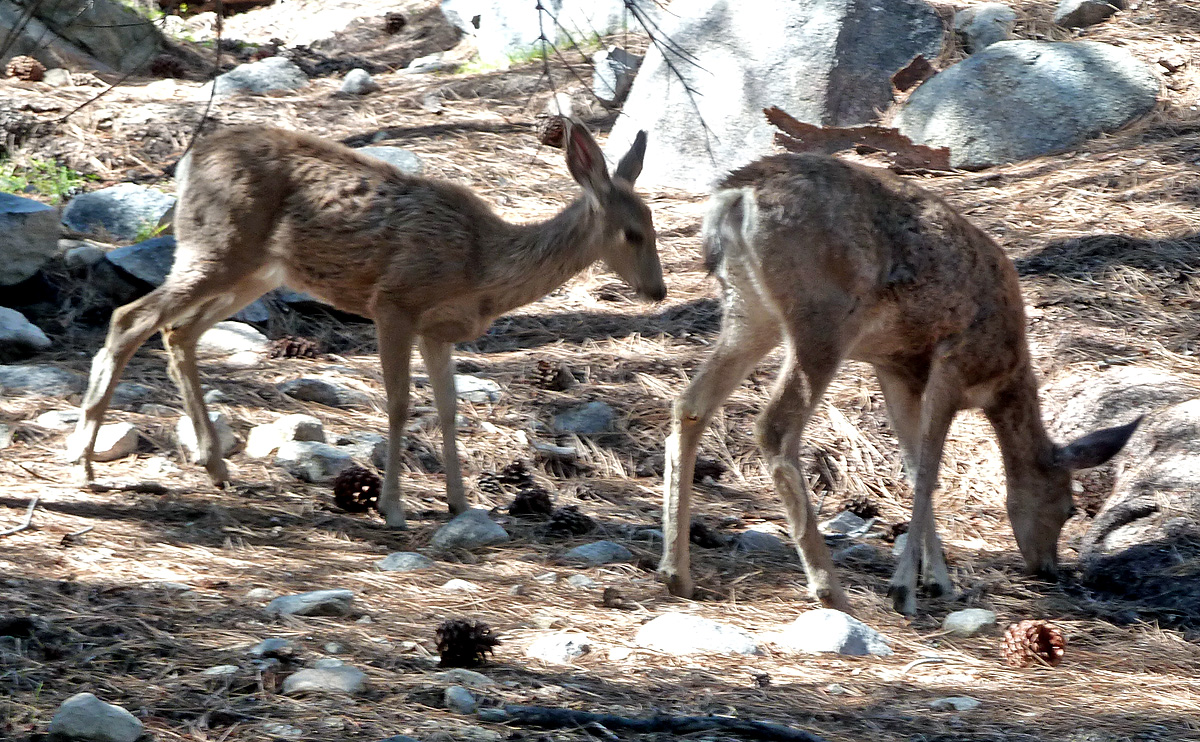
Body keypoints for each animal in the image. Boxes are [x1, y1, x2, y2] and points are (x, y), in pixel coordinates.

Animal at [66, 121, 663, 528]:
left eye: (654, 225)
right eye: (632, 232)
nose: (658, 290)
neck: (482, 264)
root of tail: (190, 160)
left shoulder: (437, 329)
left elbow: (448, 409)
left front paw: (459, 502)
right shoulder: (394, 302)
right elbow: (399, 404)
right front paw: (395, 508)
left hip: (254, 271)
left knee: (177, 331)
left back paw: (214, 467)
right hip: (217, 247)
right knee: (130, 317)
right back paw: (83, 464)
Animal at [659, 153, 1139, 615]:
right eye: (1069, 507)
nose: (1048, 568)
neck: (1004, 375)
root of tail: (735, 197)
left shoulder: (895, 368)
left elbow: (911, 464)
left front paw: (937, 580)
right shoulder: (952, 362)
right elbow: (929, 471)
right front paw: (905, 588)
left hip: (748, 311)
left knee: (691, 403)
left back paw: (677, 573)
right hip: (821, 315)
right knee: (774, 426)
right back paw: (830, 590)